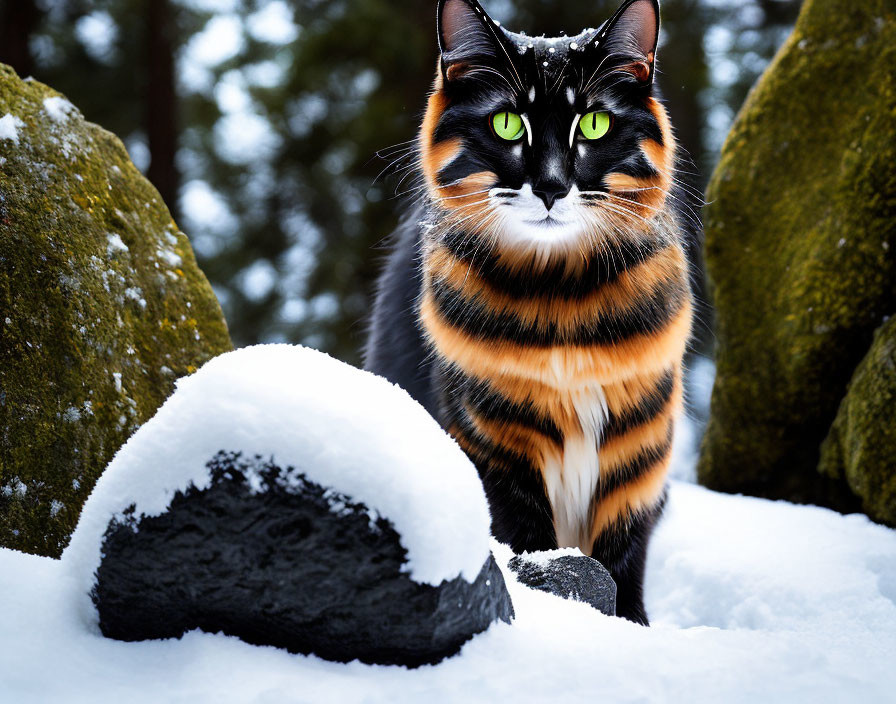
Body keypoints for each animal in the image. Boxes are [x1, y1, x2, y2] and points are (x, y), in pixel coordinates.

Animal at [362, 0, 692, 628]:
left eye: (594, 125)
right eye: (508, 124)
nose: (551, 185)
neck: (560, 298)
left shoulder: (639, 444)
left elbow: (623, 558)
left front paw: (631, 629)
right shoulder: (495, 438)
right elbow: (529, 541)